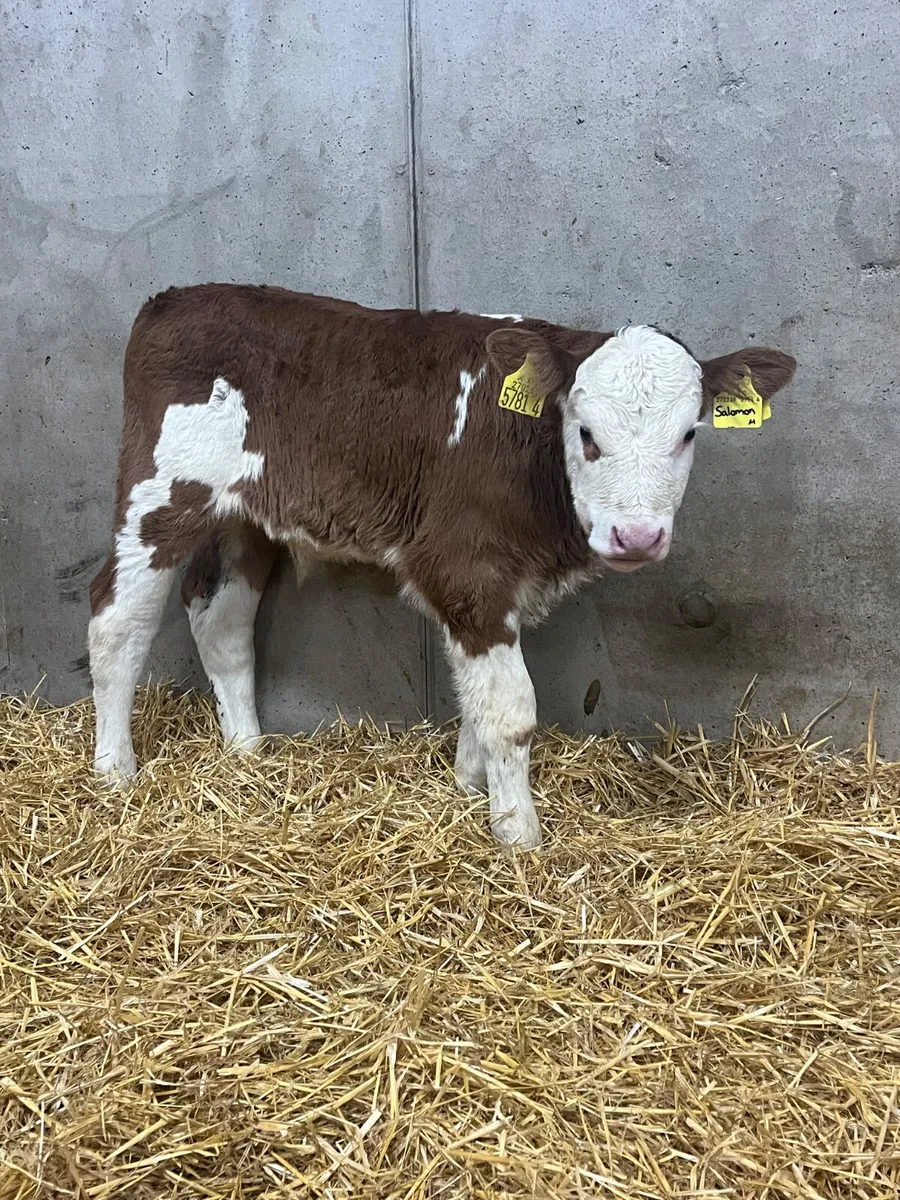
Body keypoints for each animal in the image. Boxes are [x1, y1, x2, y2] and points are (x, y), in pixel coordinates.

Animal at [88, 285, 796, 850]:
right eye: (588, 434)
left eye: (689, 434)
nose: (638, 535)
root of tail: (175, 298)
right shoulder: (463, 566)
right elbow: (510, 710)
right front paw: (519, 836)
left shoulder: (498, 584)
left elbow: (477, 699)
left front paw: (468, 787)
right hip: (159, 495)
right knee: (116, 620)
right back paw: (114, 770)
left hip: (243, 515)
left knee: (221, 619)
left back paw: (247, 751)